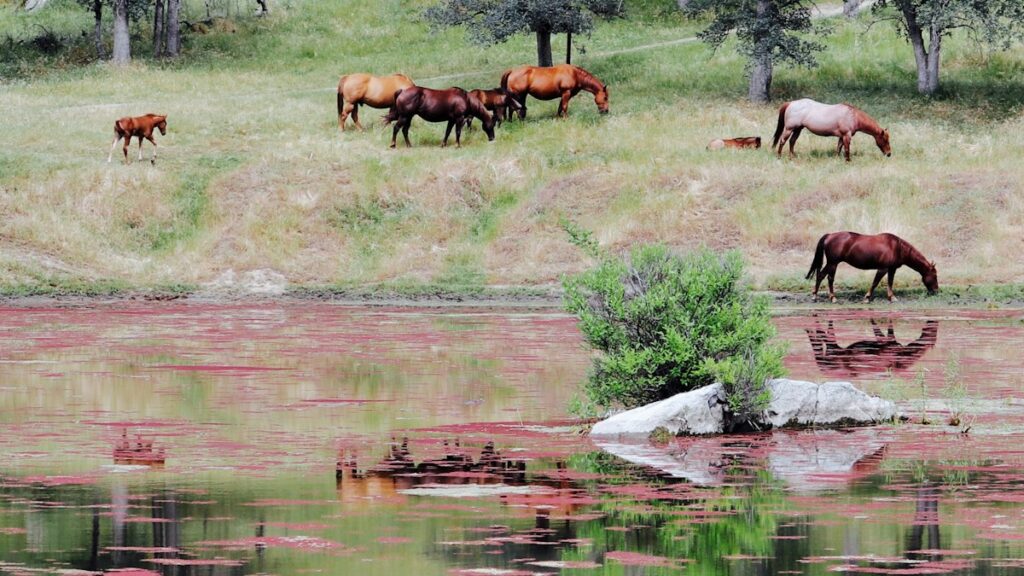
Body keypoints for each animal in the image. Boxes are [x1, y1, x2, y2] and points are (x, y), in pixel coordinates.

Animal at [806, 231, 937, 303]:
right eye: (935, 276)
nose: (936, 291)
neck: (897, 247)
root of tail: (829, 236)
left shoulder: (892, 269)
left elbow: (890, 282)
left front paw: (892, 297)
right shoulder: (883, 269)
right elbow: (875, 282)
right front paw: (867, 297)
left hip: (832, 264)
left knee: (822, 276)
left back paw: (817, 296)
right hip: (833, 263)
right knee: (828, 278)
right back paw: (830, 297)